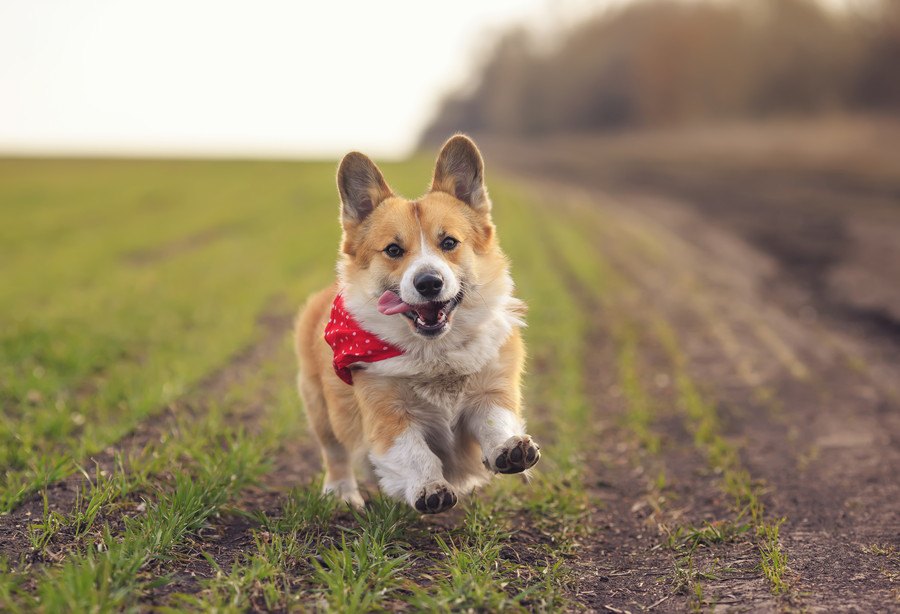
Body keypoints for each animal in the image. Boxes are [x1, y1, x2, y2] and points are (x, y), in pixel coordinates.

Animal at [296, 135, 536, 516]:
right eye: (393, 250)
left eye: (449, 242)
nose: (428, 283)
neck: (435, 354)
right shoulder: (389, 416)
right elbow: (415, 455)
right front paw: (429, 489)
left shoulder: (491, 392)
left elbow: (495, 421)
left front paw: (511, 449)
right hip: (320, 410)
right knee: (335, 453)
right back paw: (342, 494)